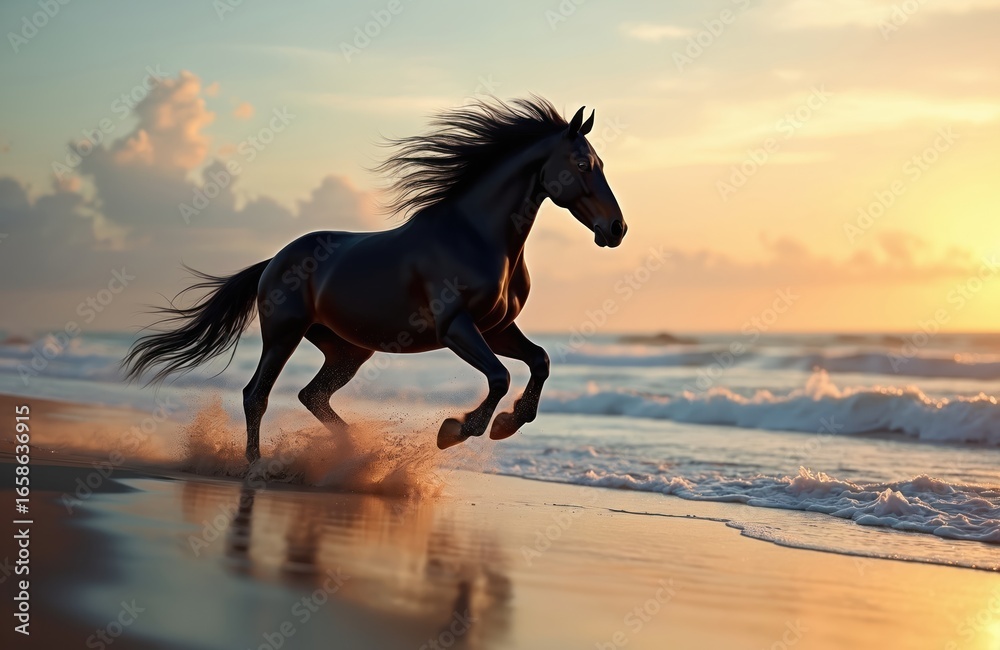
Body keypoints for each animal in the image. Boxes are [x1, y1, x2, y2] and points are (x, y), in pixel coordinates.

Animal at [123, 97, 627, 461]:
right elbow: (501, 376)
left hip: (347, 349)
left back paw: (351, 453)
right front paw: (455, 431)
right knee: (256, 395)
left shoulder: (497, 328)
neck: (476, 236)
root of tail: (273, 260)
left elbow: (539, 361)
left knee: (311, 395)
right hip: (284, 334)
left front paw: (505, 425)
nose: (616, 229)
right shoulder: (456, 327)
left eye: (600, 164)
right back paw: (257, 467)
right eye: (583, 165)